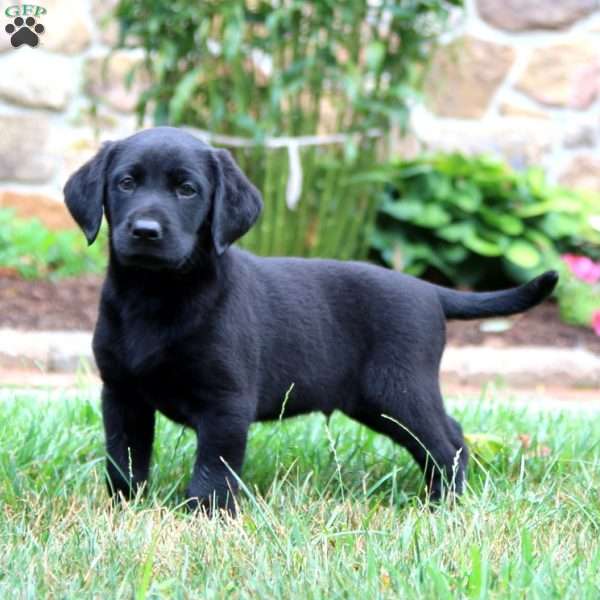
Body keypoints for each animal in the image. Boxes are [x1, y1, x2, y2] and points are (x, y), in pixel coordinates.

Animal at [64, 129, 556, 512]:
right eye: (126, 183)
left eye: (188, 190)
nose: (145, 231)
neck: (156, 294)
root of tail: (429, 289)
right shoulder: (122, 394)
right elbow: (125, 459)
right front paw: (123, 510)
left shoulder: (227, 402)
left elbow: (213, 469)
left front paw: (203, 517)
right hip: (375, 402)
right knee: (447, 436)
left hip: (399, 389)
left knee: (447, 443)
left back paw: (443, 506)